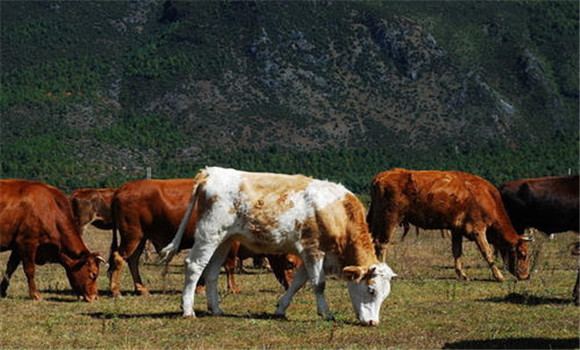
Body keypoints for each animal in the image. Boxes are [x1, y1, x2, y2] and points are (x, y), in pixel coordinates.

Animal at [108, 180, 300, 298]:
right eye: (290, 263)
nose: (295, 288)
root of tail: (122, 188)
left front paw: (200, 287)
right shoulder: (230, 244)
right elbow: (229, 266)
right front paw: (232, 288)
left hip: (140, 239)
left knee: (132, 260)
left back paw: (141, 289)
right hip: (132, 236)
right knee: (119, 259)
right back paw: (115, 291)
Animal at [161, 167, 396, 326]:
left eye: (385, 295)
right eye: (371, 290)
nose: (373, 322)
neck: (337, 212)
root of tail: (209, 173)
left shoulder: (309, 255)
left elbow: (297, 283)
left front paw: (281, 309)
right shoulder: (313, 250)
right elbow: (319, 284)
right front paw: (326, 313)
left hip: (224, 240)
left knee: (211, 271)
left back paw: (216, 309)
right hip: (209, 234)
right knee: (194, 265)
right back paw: (188, 310)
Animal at [368, 168, 532, 284]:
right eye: (522, 254)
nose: (526, 275)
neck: (487, 197)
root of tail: (381, 176)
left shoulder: (456, 230)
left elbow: (457, 252)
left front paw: (462, 274)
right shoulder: (478, 230)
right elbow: (488, 252)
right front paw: (499, 276)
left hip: (375, 219)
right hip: (389, 218)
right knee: (382, 244)